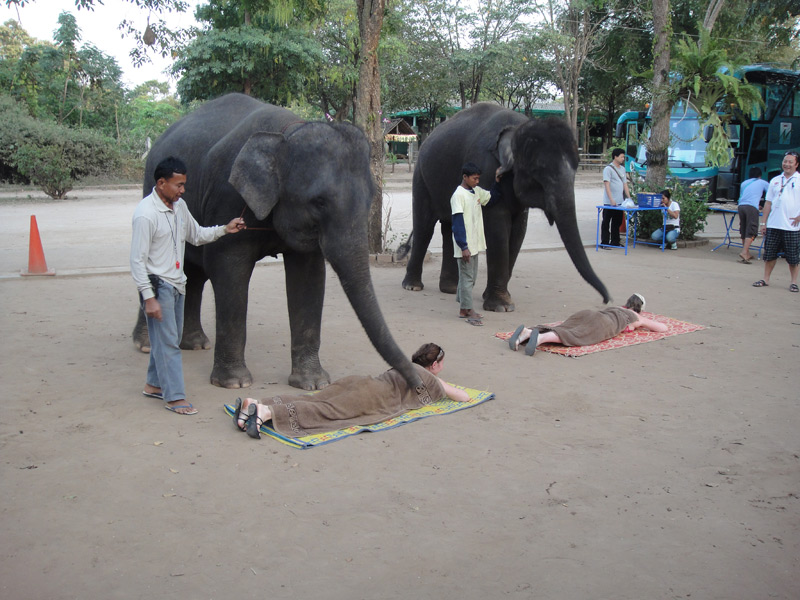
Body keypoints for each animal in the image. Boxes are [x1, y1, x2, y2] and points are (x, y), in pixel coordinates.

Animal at [133, 92, 424, 394]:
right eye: (319, 202)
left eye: (371, 197)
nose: (419, 387)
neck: (287, 133)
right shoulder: (226, 196)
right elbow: (228, 271)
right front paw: (235, 384)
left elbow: (308, 276)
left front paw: (313, 383)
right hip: (149, 190)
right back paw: (146, 345)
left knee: (195, 273)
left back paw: (196, 344)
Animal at [404, 102, 608, 312]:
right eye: (538, 171)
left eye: (576, 168)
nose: (606, 300)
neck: (518, 128)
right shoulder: (485, 167)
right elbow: (498, 227)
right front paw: (501, 306)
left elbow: (519, 231)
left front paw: (493, 298)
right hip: (421, 178)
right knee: (424, 227)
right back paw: (413, 286)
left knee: (450, 228)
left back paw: (450, 289)